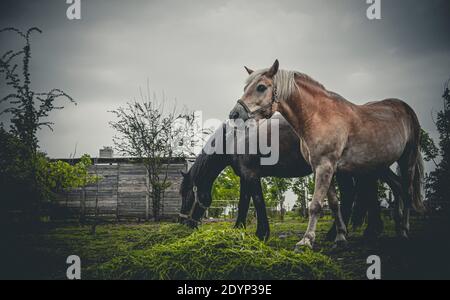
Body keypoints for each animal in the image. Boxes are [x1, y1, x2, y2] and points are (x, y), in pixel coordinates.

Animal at [178, 113, 400, 240]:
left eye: (186, 194)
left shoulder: (251, 175)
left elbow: (257, 202)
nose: (183, 223)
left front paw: (261, 234)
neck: (234, 138)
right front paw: (238, 228)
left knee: (350, 195)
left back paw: (336, 234)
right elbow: (243, 203)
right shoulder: (245, 177)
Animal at [230, 59, 424, 250]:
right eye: (246, 87)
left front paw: (306, 240)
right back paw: (395, 228)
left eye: (261, 87)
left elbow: (315, 205)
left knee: (407, 192)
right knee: (398, 188)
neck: (319, 116)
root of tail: (405, 108)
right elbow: (333, 204)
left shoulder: (325, 166)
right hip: (380, 165)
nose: (234, 114)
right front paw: (340, 237)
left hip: (407, 159)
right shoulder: (321, 168)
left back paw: (404, 230)